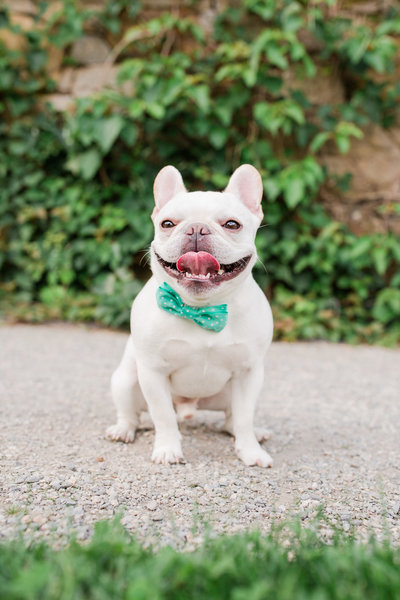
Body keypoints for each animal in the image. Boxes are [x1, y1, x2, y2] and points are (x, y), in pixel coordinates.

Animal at [106, 164, 274, 468]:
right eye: (167, 224)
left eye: (232, 224)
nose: (197, 228)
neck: (201, 308)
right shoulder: (153, 372)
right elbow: (162, 416)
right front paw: (168, 449)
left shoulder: (249, 372)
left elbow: (244, 417)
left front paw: (251, 451)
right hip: (125, 380)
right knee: (132, 413)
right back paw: (123, 430)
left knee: (232, 419)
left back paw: (255, 432)